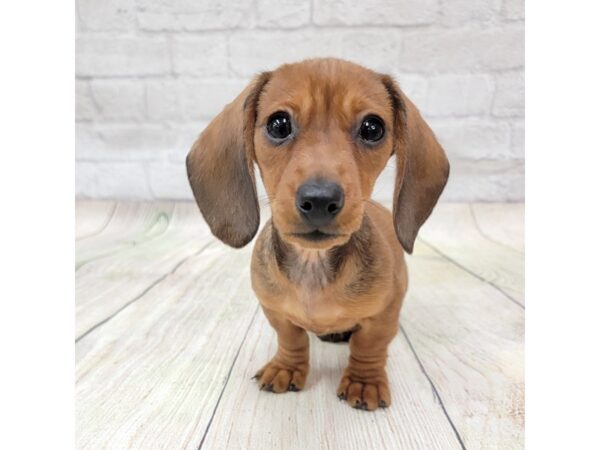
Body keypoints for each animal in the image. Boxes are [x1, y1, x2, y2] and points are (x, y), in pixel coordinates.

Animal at [185, 58, 448, 410]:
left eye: (373, 128)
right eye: (278, 124)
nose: (321, 200)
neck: (313, 264)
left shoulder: (385, 313)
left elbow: (369, 345)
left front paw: (364, 381)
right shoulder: (275, 311)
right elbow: (292, 338)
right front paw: (286, 367)